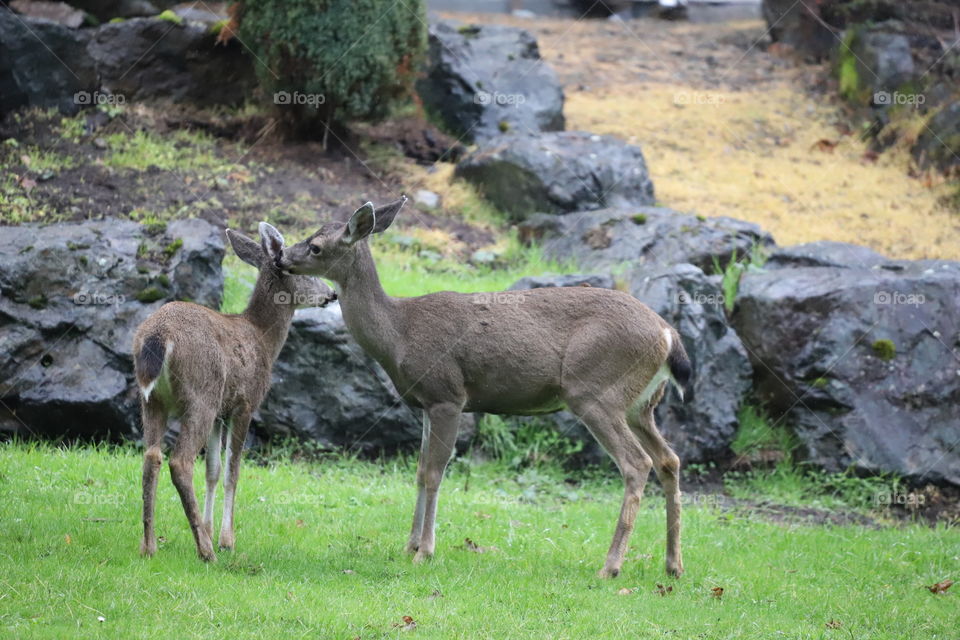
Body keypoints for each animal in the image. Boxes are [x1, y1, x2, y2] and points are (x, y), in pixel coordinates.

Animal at [131, 221, 334, 560]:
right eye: (303, 269)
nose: (332, 293)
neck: (263, 338)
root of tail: (158, 336)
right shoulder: (244, 404)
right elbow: (232, 472)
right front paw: (225, 539)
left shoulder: (221, 413)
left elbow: (212, 470)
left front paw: (210, 529)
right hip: (202, 394)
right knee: (179, 461)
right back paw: (205, 551)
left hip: (152, 398)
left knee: (151, 456)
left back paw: (149, 545)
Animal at [278, 198, 688, 576]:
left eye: (316, 246)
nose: (282, 258)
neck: (400, 334)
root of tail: (668, 334)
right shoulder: (425, 403)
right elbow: (420, 470)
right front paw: (409, 546)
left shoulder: (447, 394)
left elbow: (434, 472)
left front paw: (425, 551)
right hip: (641, 404)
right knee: (669, 459)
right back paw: (673, 565)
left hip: (594, 388)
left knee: (637, 462)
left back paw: (611, 566)